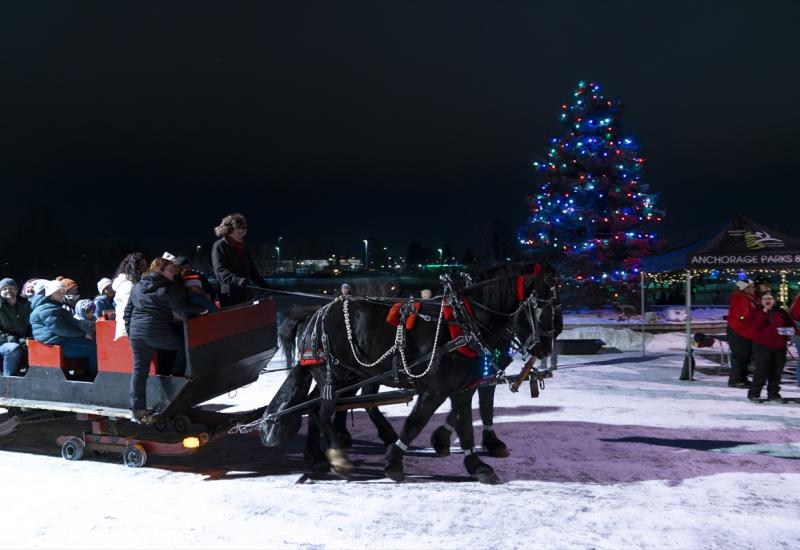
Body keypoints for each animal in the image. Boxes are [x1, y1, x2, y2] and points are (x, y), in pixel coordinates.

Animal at [276, 262, 556, 484]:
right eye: (541, 309)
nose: (544, 348)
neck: (462, 322)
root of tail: (313, 314)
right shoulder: (435, 389)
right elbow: (415, 423)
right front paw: (394, 462)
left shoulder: (464, 387)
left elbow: (466, 424)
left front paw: (477, 464)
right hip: (335, 377)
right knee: (321, 409)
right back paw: (337, 456)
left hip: (343, 375)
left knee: (317, 407)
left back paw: (317, 454)